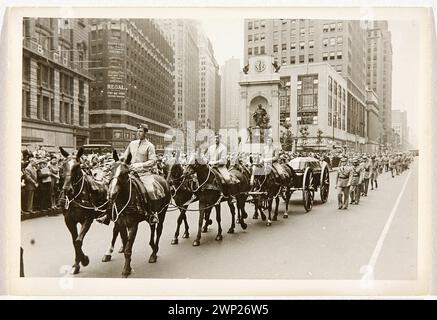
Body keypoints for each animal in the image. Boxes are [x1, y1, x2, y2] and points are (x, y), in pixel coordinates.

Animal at [58, 148, 108, 276]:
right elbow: (74, 241)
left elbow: (78, 241)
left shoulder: (87, 220)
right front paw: (76, 264)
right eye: (63, 165)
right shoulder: (69, 221)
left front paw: (84, 260)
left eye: (77, 166)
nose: (67, 189)